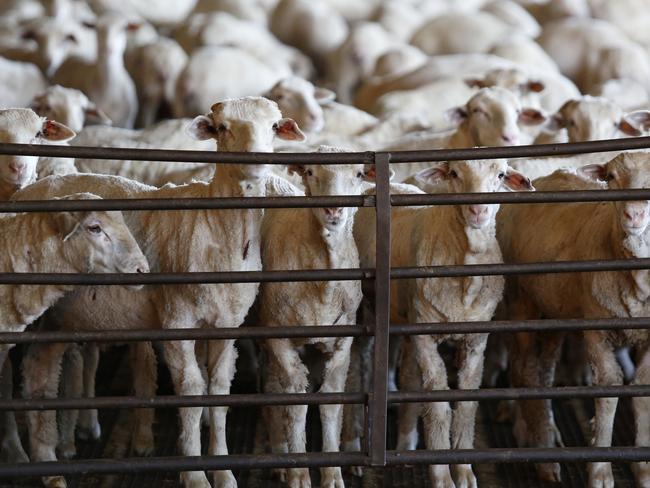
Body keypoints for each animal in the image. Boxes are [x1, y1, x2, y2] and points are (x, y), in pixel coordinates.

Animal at [354, 159, 532, 488]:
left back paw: (405, 440)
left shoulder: (476, 341)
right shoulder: (425, 337)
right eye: (454, 173)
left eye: (501, 174)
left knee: (409, 376)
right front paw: (441, 476)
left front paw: (463, 471)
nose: (478, 210)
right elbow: (437, 407)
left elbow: (465, 405)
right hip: (369, 312)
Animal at [496, 151, 650, 486]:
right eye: (611, 177)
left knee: (545, 369)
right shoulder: (596, 329)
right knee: (525, 369)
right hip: (521, 299)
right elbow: (608, 386)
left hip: (554, 310)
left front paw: (644, 468)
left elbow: (643, 386)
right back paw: (543, 455)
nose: (633, 216)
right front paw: (600, 470)